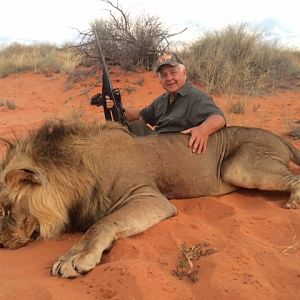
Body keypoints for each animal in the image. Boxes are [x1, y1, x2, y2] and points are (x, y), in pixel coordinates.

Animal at [0, 120, 298, 278]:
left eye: (5, 210)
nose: (1, 243)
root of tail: (279, 137)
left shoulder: (148, 196)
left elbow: (101, 224)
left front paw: (74, 259)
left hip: (239, 168)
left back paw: (294, 201)